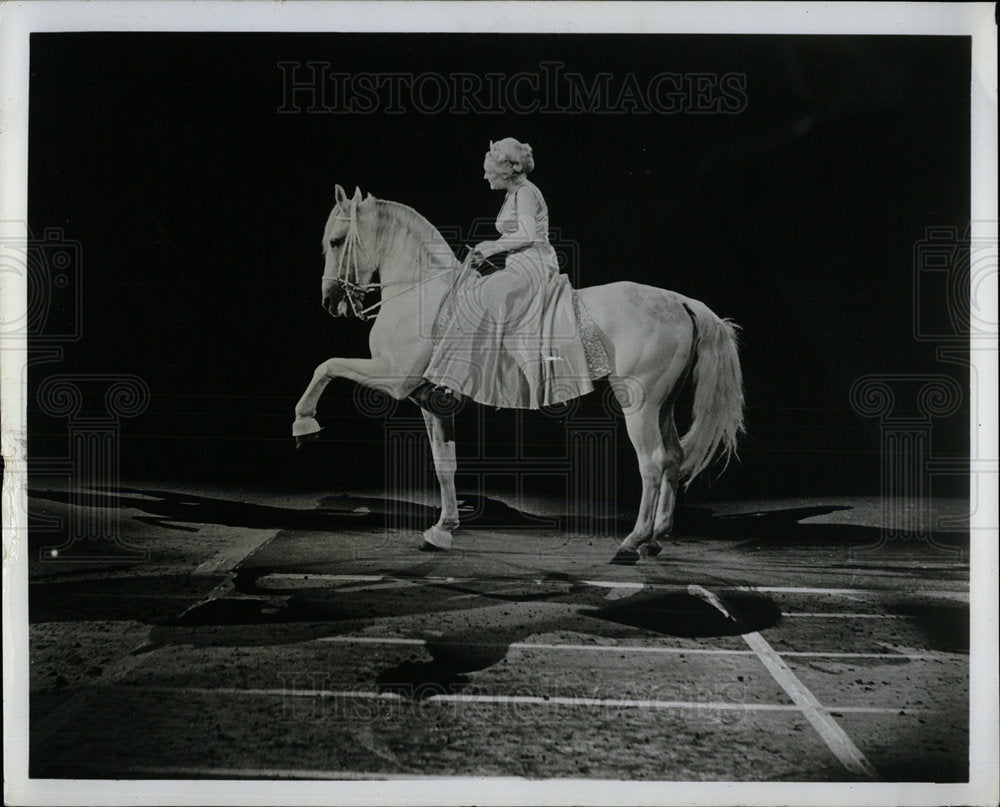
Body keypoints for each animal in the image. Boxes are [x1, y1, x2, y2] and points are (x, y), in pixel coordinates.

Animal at [292, 186, 744, 564]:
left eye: (336, 241)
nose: (330, 300)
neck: (424, 292)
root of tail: (680, 300)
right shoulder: (430, 401)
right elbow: (444, 464)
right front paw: (443, 529)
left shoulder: (392, 377)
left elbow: (326, 365)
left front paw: (304, 422)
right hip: (663, 404)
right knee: (673, 457)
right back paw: (656, 537)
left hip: (641, 404)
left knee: (651, 462)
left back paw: (632, 542)